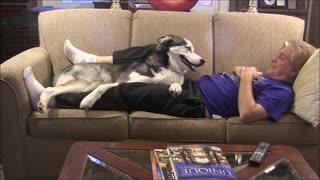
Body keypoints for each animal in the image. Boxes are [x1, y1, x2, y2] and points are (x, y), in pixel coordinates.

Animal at [38, 34, 205, 112]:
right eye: (188, 48)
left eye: (194, 49)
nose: (203, 60)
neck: (166, 66)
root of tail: (62, 70)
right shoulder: (124, 81)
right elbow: (103, 87)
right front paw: (88, 100)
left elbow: (177, 83)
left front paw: (175, 87)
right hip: (88, 83)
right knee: (50, 89)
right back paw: (42, 104)